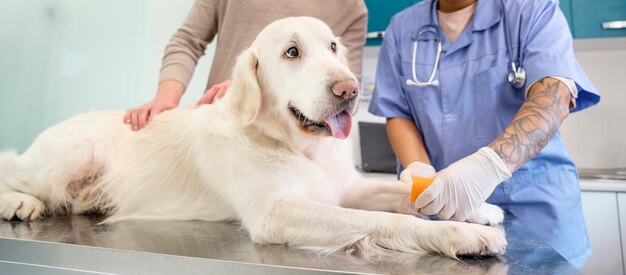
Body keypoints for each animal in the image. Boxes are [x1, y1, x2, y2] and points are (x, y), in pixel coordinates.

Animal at [0, 16, 504, 258]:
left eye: (333, 46)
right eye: (292, 52)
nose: (349, 90)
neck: (292, 143)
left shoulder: (345, 186)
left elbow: (403, 192)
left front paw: (471, 205)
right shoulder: (274, 213)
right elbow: (388, 220)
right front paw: (461, 235)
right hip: (74, 153)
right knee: (15, 172)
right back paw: (19, 203)